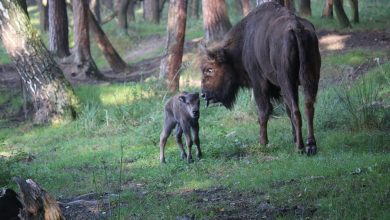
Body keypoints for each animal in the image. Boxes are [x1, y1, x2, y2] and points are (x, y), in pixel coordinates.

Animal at [200, 2, 322, 156]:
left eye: (209, 69)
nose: (203, 94)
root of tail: (297, 27)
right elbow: (286, 110)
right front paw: (293, 137)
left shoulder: (258, 83)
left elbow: (264, 111)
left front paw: (262, 142)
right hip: (310, 78)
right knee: (308, 106)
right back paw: (310, 145)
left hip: (287, 81)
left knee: (296, 110)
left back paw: (299, 148)